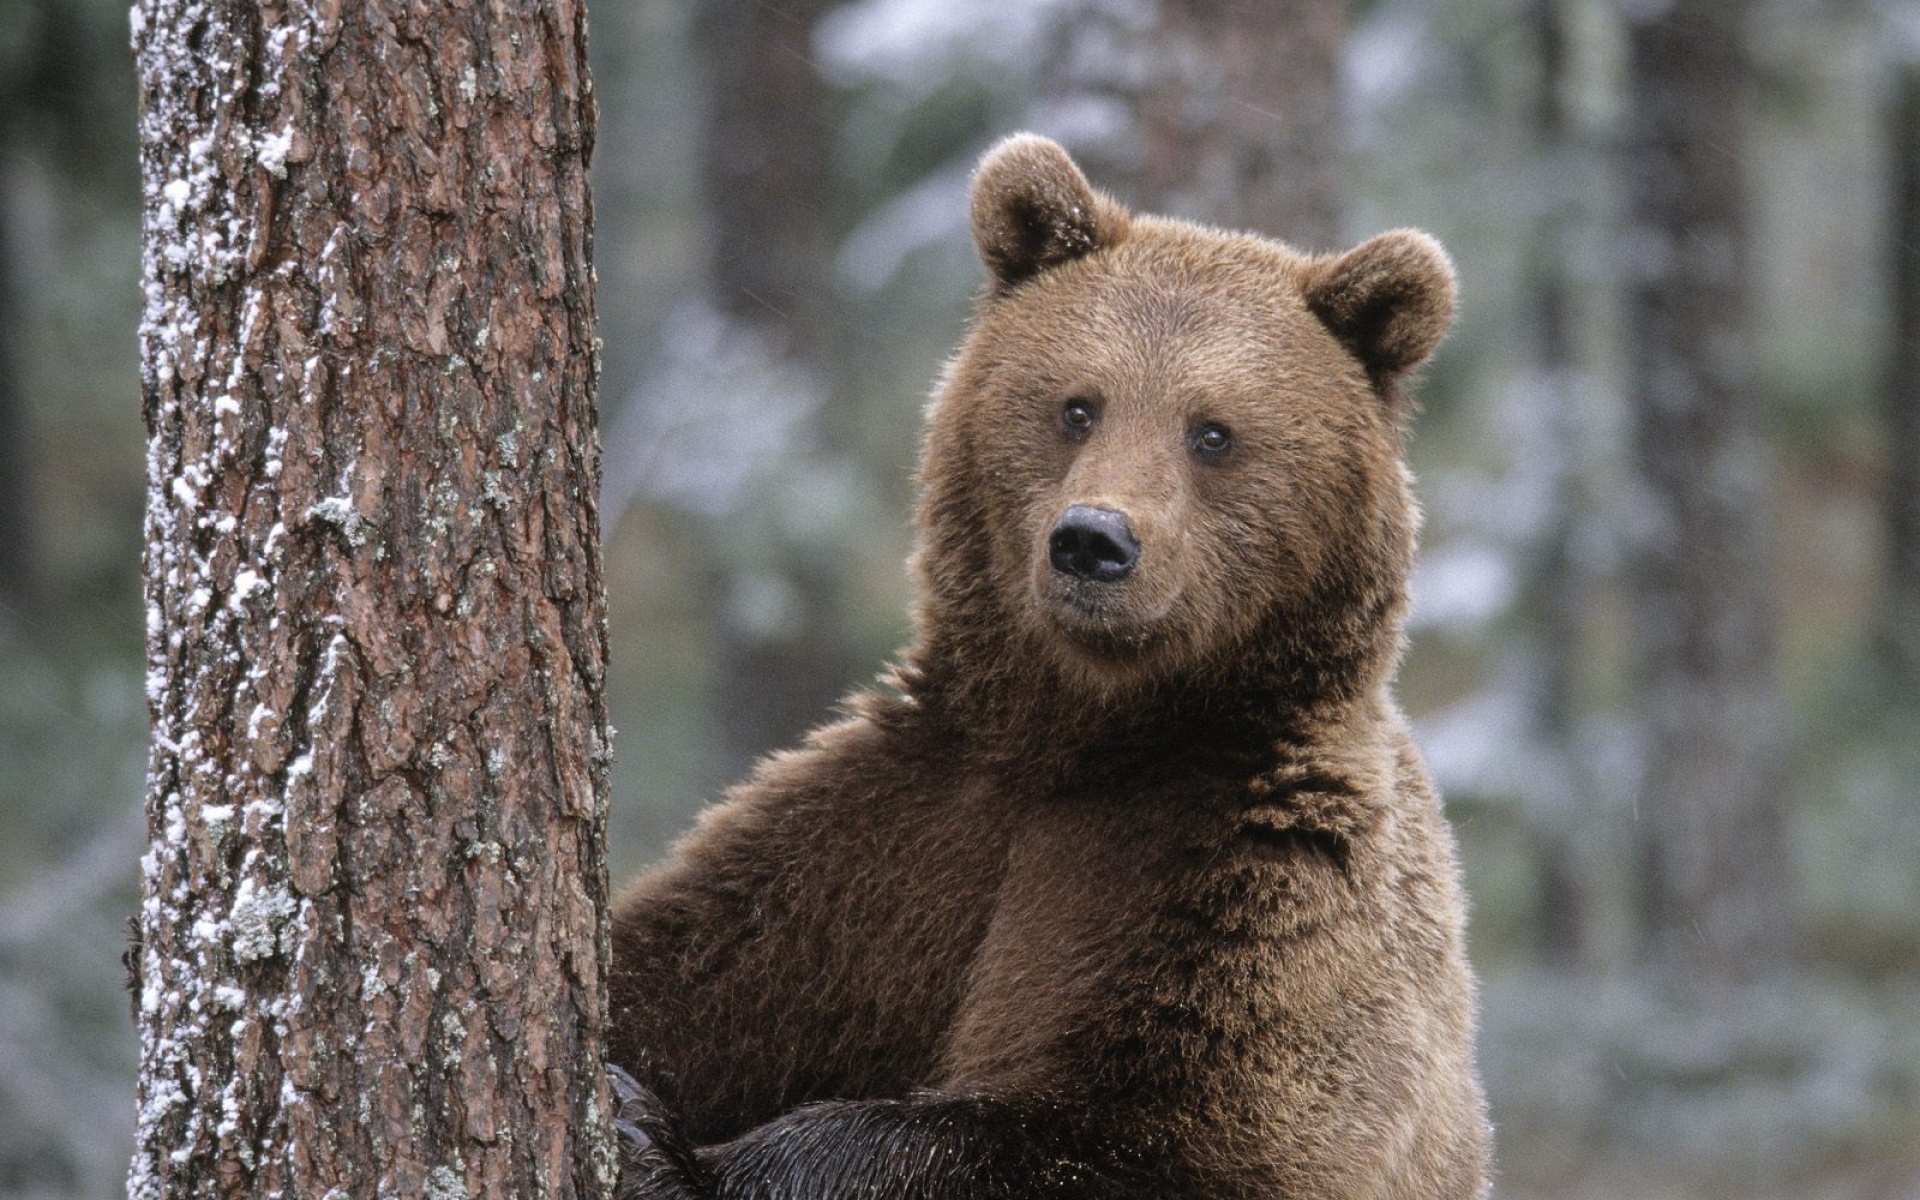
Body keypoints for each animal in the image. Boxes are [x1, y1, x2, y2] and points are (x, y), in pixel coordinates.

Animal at [606, 133, 1489, 1198]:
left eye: (1213, 431)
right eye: (1077, 405)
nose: (1094, 541)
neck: (1091, 734)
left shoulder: (1255, 887)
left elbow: (1149, 1138)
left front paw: (664, 1144)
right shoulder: (886, 845)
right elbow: (684, 970)